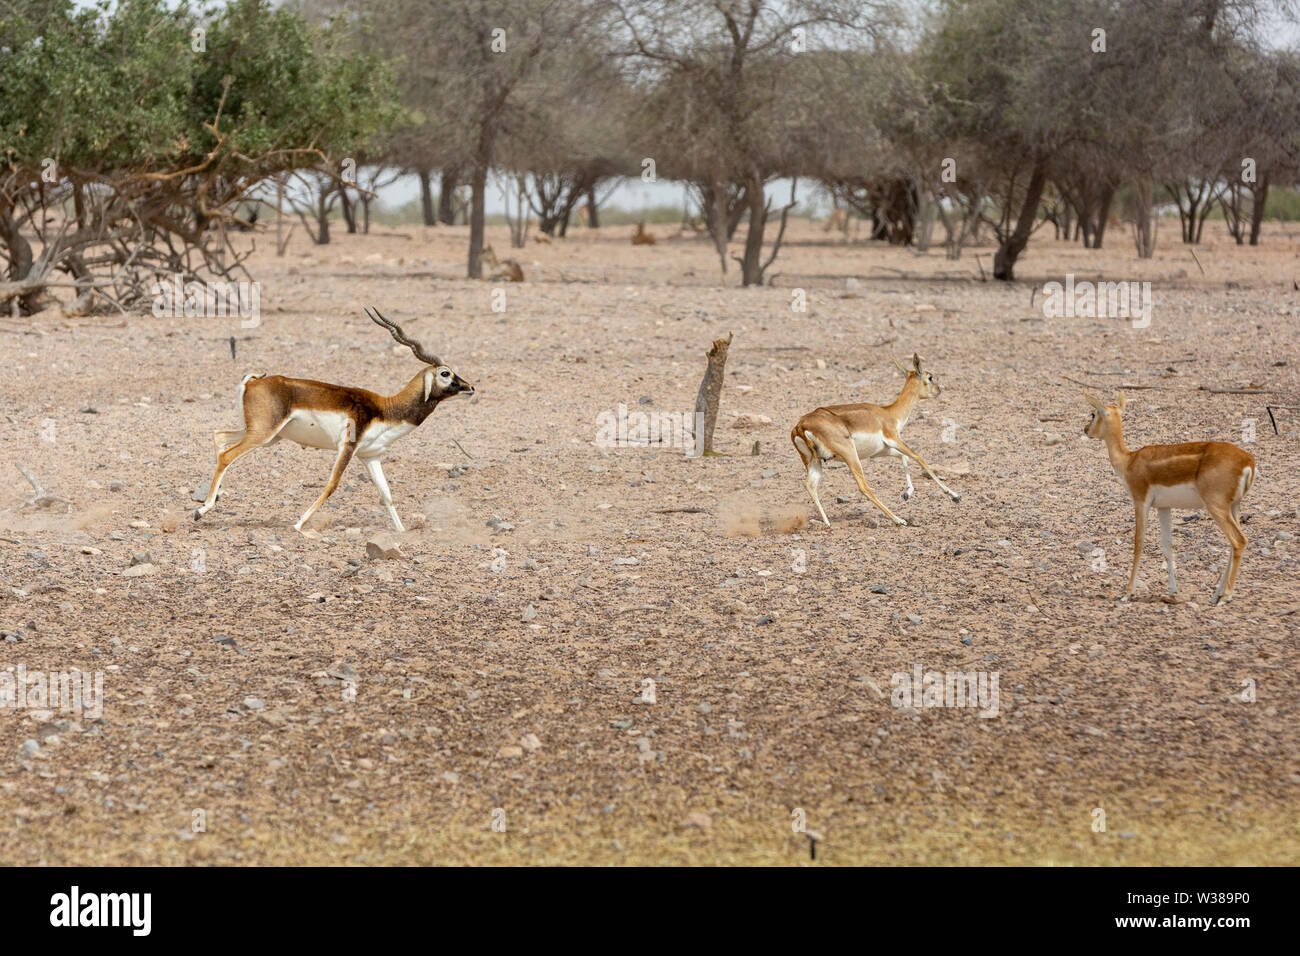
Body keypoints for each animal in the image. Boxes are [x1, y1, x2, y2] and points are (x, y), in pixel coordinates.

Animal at [194, 308, 474, 533]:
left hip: (266, 436)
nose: (470, 387)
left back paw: (210, 502)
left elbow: (386, 494)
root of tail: (253, 382)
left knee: (220, 437)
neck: (386, 408)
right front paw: (298, 524)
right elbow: (332, 484)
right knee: (227, 455)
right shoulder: (347, 447)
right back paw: (201, 510)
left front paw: (402, 532)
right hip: (263, 433)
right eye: (445, 373)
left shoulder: (370, 456)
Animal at [791, 353, 960, 528]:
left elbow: (903, 457)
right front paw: (954, 495)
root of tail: (800, 425)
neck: (889, 413)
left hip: (814, 461)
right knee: (863, 487)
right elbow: (919, 458)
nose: (939, 390)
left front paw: (907, 493)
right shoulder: (894, 439)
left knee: (809, 484)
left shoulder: (881, 451)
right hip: (850, 455)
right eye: (930, 377)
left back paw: (827, 522)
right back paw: (898, 519)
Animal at [1083, 392, 1256, 604]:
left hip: (1216, 506)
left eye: (1093, 414)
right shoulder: (1163, 507)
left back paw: (1226, 597)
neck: (1129, 461)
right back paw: (1216, 595)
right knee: (1235, 543)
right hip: (1234, 505)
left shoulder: (1140, 501)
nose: (1086, 429)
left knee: (1238, 540)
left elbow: (1138, 543)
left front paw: (1127, 593)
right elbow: (1167, 545)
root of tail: (1248, 461)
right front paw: (1172, 590)